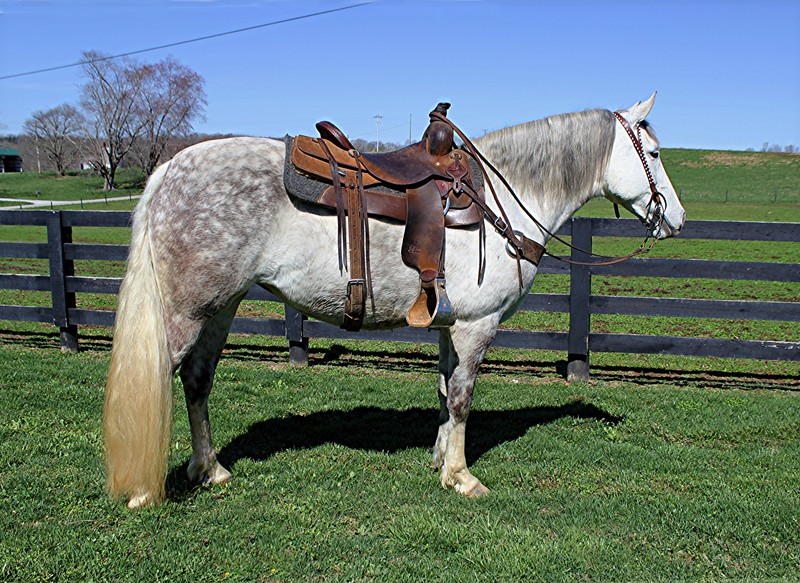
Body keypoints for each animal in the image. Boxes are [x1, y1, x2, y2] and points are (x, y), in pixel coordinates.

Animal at [103, 93, 686, 508]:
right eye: (655, 154)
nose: (676, 220)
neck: (503, 199)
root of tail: (168, 171)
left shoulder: (451, 326)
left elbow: (445, 393)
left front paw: (440, 460)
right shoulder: (477, 326)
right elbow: (462, 398)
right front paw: (462, 477)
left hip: (220, 309)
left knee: (197, 381)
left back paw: (210, 469)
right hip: (184, 314)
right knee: (160, 377)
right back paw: (143, 490)